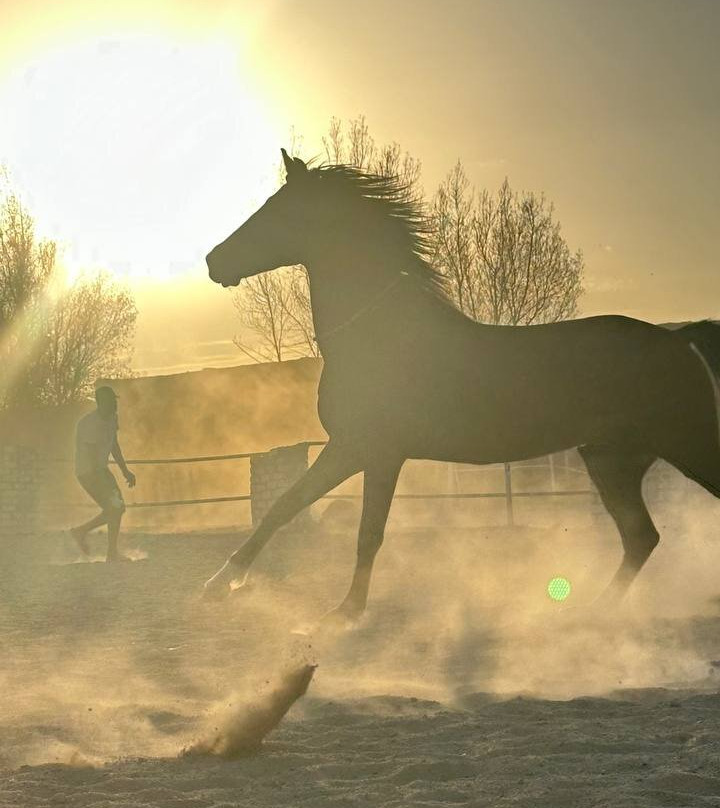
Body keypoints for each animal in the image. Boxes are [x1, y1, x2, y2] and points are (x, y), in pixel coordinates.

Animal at [203, 148, 720, 620]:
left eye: (279, 209)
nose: (213, 260)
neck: (379, 336)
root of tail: (682, 340)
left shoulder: (371, 451)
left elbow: (360, 529)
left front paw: (343, 611)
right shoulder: (355, 449)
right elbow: (287, 506)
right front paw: (222, 583)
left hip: (684, 443)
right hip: (610, 458)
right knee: (640, 537)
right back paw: (589, 614)